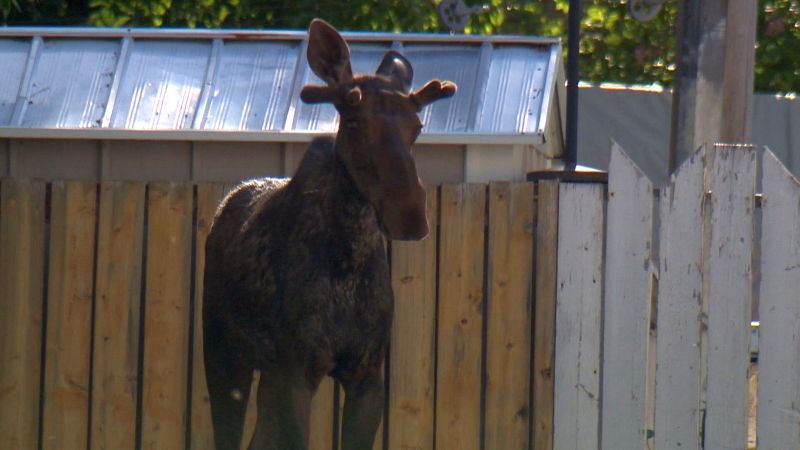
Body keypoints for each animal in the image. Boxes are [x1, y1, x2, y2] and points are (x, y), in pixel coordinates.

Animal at [202, 19, 456, 450]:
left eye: (418, 127)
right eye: (353, 121)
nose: (408, 212)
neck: (348, 258)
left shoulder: (366, 375)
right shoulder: (297, 372)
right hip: (223, 355)